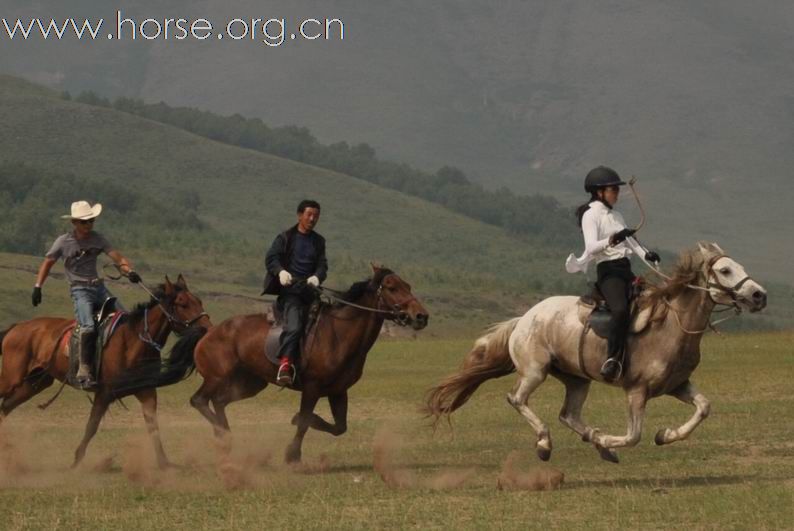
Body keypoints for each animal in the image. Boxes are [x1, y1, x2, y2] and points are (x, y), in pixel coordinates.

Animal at [0, 276, 210, 468]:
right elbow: (92, 426)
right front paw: (77, 460)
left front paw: (164, 463)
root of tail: (16, 327)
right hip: (12, 378)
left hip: (34, 383)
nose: (207, 328)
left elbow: (153, 426)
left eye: (199, 301)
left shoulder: (147, 391)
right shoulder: (105, 392)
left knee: (6, 406)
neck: (132, 341)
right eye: (182, 304)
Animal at [188, 268, 426, 464]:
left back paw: (225, 441)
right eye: (392, 287)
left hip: (250, 383)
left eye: (408, 286)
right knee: (199, 400)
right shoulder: (312, 388)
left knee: (219, 401)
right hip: (217, 377)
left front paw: (303, 424)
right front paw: (292, 454)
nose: (421, 316)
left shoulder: (338, 391)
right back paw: (224, 437)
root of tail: (211, 331)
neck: (339, 333)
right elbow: (303, 421)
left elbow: (339, 427)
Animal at [426, 243, 768, 464]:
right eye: (725, 269)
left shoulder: (677, 385)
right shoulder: (637, 390)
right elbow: (634, 435)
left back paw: (597, 445)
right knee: (518, 399)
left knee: (568, 415)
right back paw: (546, 443)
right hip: (535, 371)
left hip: (577, 379)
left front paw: (664, 434)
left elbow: (703, 408)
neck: (672, 325)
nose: (759, 296)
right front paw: (609, 439)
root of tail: (523, 319)